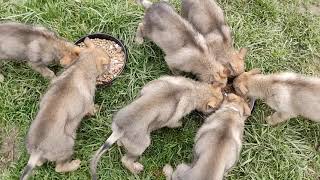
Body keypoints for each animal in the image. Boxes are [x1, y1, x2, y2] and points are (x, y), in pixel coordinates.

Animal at [20, 38, 110, 180]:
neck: (81, 66)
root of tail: (36, 152)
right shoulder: (88, 102)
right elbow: (92, 109)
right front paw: (98, 108)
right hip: (69, 145)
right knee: (59, 168)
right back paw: (75, 164)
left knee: (40, 163)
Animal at [90, 76, 224, 179]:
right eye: (216, 107)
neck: (194, 90)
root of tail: (120, 129)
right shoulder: (173, 120)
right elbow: (176, 123)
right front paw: (181, 124)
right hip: (142, 146)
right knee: (125, 160)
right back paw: (136, 169)